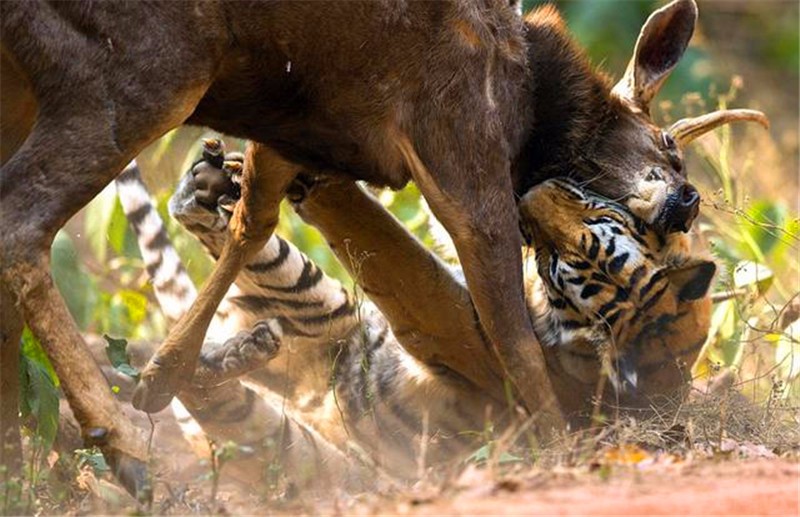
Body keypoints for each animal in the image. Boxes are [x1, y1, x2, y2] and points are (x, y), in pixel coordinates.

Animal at [112, 141, 712, 488]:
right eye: (598, 213)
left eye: (554, 263)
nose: (528, 195)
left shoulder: (445, 317)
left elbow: (394, 243)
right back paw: (208, 193)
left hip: (295, 379)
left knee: (197, 379)